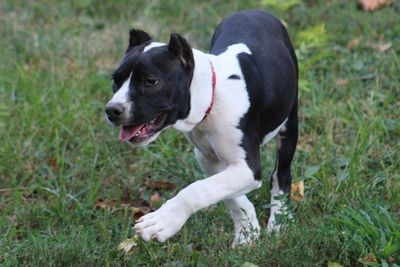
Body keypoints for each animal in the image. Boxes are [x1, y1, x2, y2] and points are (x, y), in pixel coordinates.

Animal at [104, 9, 298, 246]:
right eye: (115, 81)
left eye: (151, 82)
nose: (112, 110)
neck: (212, 96)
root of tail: (256, 11)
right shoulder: (208, 158)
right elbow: (227, 195)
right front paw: (247, 231)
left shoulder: (247, 168)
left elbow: (197, 190)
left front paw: (162, 222)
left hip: (289, 124)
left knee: (282, 173)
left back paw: (280, 219)